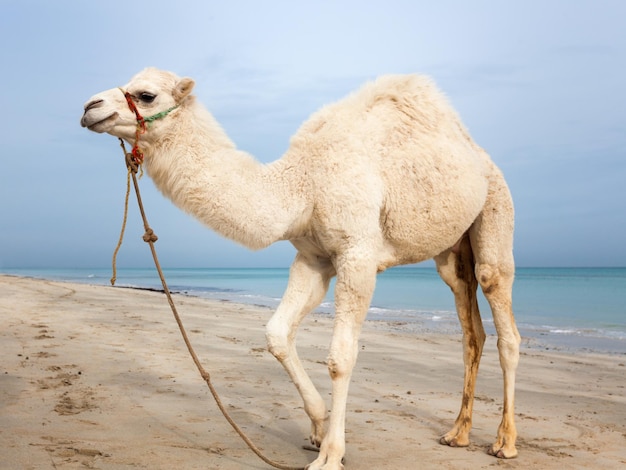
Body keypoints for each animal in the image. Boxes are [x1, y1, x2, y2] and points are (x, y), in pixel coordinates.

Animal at [80, 68, 520, 468]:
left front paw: (331, 455)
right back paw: (457, 433)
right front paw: (318, 428)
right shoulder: (313, 257)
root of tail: (479, 154)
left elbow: (341, 356)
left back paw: (504, 442)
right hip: (451, 251)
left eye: (146, 95)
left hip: (496, 204)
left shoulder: (357, 254)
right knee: (470, 326)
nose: (89, 107)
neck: (302, 184)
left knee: (500, 307)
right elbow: (276, 334)